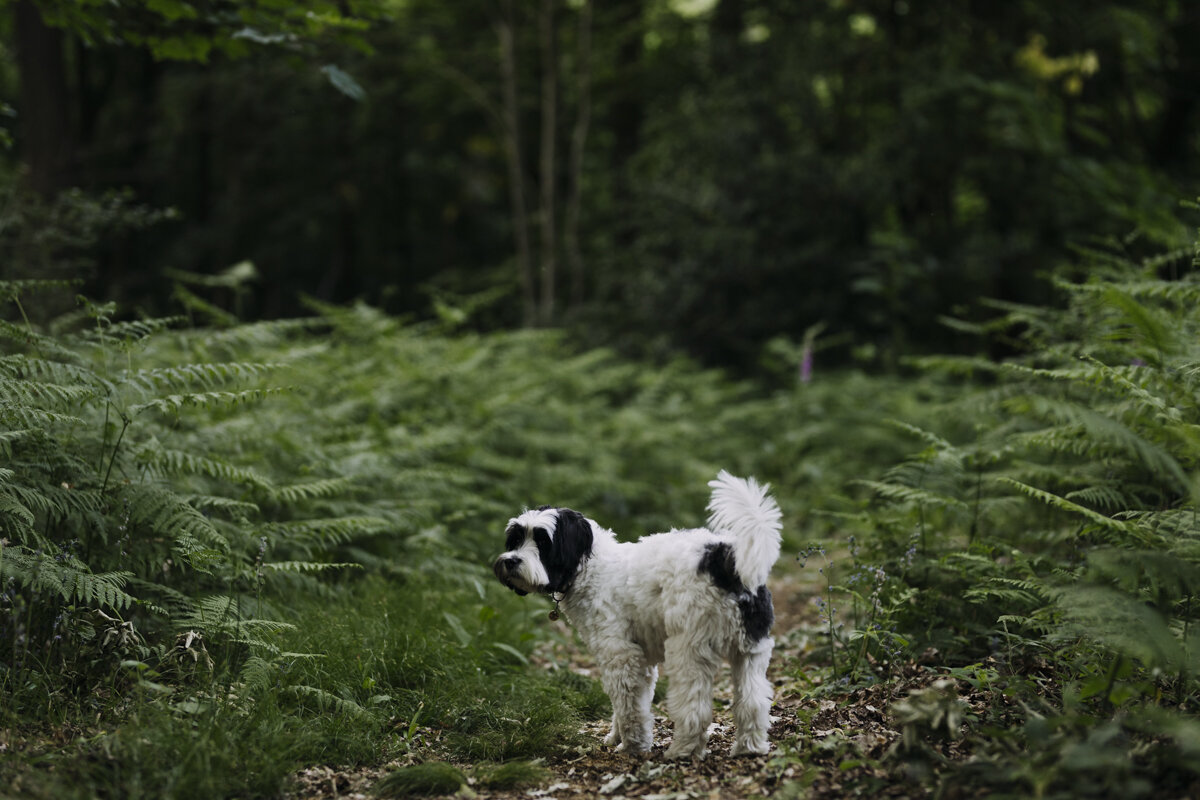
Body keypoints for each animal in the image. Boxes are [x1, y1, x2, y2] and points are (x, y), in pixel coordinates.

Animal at [492, 472, 782, 762]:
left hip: (689, 650)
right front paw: (615, 737)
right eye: (516, 539)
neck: (589, 568)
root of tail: (723, 558)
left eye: (543, 542)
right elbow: (624, 706)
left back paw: (682, 750)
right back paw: (749, 748)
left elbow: (629, 707)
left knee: (695, 709)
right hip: (750, 651)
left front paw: (633, 745)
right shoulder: (641, 660)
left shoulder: (620, 655)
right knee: (753, 702)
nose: (511, 561)